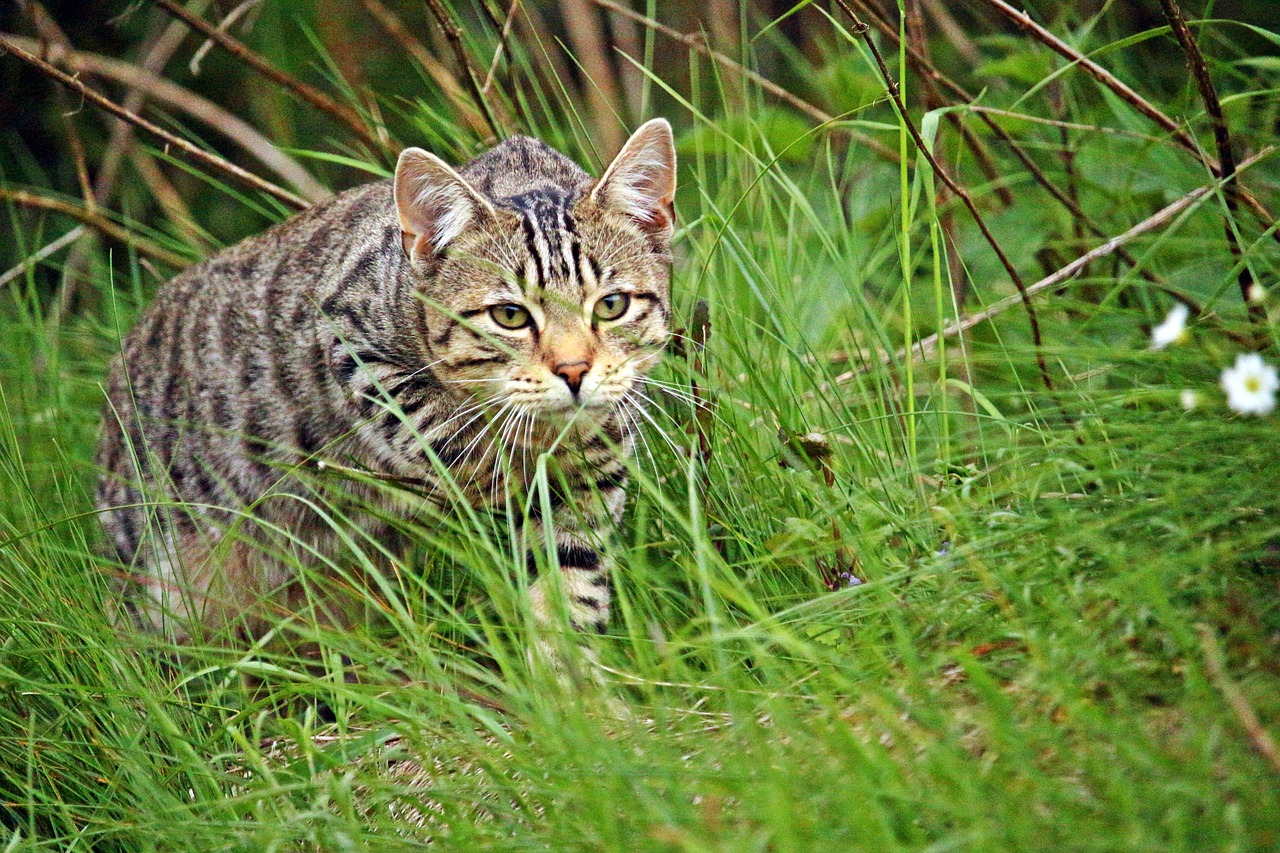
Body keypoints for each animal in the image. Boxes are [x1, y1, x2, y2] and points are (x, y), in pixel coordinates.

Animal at [97, 119, 680, 648]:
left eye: (612, 305)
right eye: (510, 316)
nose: (574, 370)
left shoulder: (584, 498)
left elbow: (568, 589)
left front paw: (571, 682)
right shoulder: (346, 336)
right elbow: (432, 424)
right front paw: (495, 470)